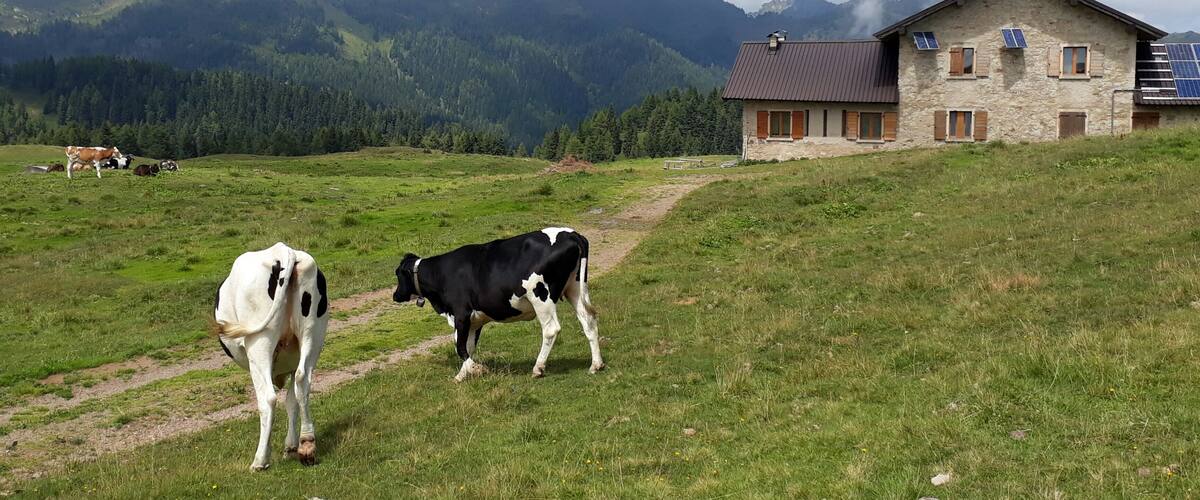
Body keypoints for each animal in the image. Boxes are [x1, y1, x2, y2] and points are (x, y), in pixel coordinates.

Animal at [213, 243, 329, 471]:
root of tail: (282, 251)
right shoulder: (292, 363)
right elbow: (292, 401)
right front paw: (291, 446)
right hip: (313, 335)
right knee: (303, 381)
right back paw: (307, 445)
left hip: (259, 345)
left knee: (268, 398)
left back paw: (260, 460)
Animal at [392, 227, 604, 382]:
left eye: (398, 274)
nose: (395, 295)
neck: (441, 273)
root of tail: (571, 233)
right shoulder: (474, 320)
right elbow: (468, 346)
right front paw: (462, 375)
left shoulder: (461, 314)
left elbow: (459, 346)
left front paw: (476, 369)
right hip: (574, 288)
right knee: (588, 320)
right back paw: (596, 365)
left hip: (540, 296)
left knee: (551, 329)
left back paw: (538, 368)